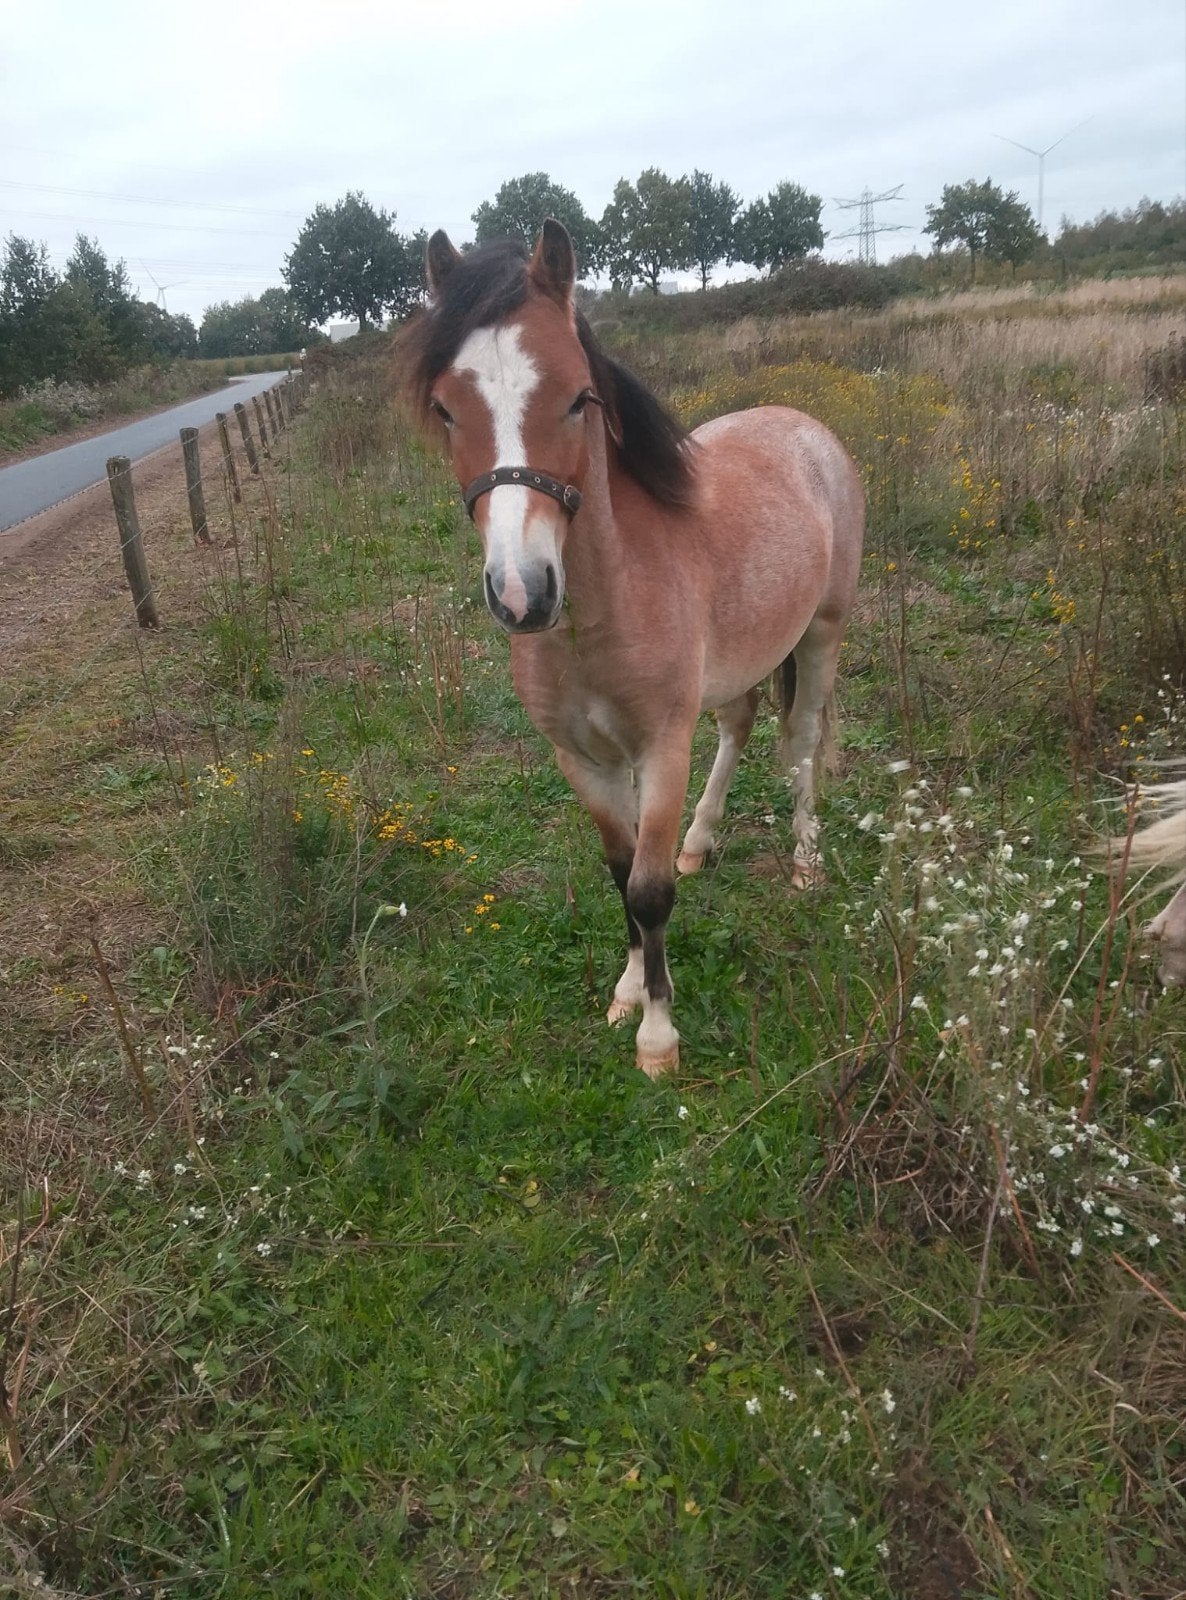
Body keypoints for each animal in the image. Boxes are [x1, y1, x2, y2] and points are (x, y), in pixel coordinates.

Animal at [406, 220, 864, 1075]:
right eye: (447, 410)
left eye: (580, 397)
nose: (522, 593)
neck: (601, 613)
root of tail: (807, 423)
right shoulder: (584, 760)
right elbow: (621, 876)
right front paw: (625, 993)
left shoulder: (661, 749)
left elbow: (649, 893)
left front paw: (658, 1036)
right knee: (740, 725)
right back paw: (700, 841)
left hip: (823, 632)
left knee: (803, 741)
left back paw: (805, 860)